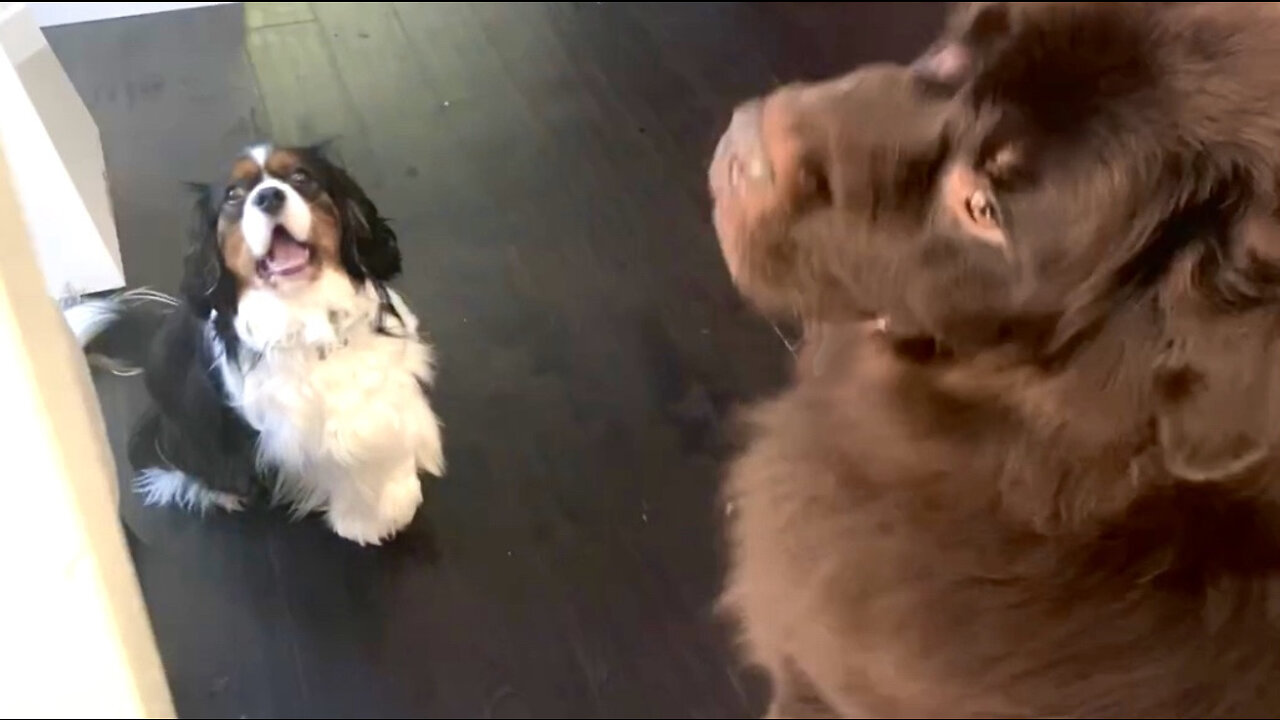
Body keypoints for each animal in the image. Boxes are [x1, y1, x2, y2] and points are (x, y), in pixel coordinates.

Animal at [64, 142, 445, 540]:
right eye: (234, 195)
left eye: (300, 177)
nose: (268, 197)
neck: (307, 310)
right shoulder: (301, 435)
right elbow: (351, 471)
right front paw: (371, 521)